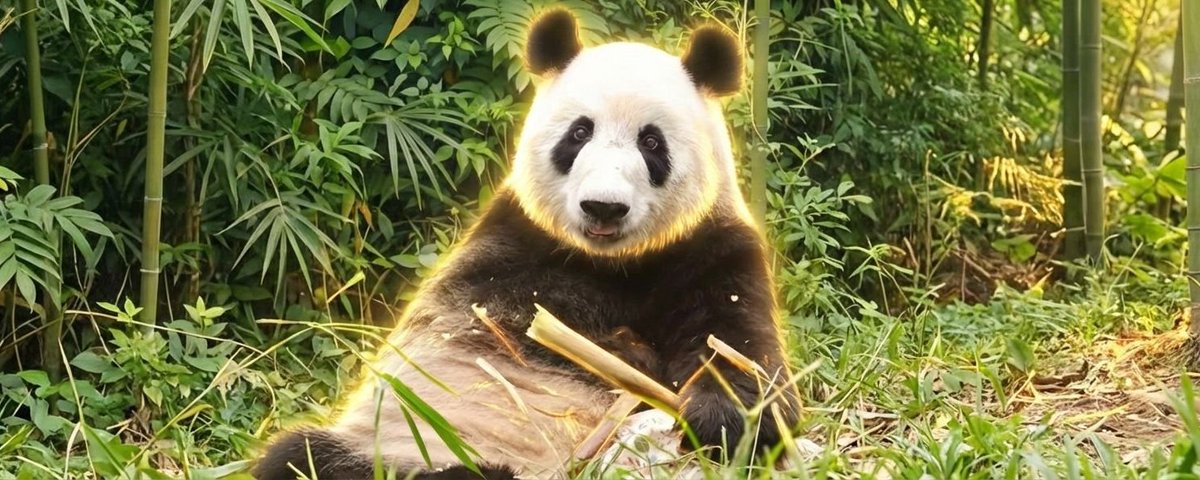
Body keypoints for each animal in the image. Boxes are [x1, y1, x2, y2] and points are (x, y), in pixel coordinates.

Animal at [253, 9, 798, 480]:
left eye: (652, 143)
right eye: (579, 133)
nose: (604, 207)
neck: (613, 262)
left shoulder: (711, 246)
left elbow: (742, 353)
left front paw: (719, 421)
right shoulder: (508, 245)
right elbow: (497, 323)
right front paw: (624, 352)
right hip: (387, 445)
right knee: (298, 456)